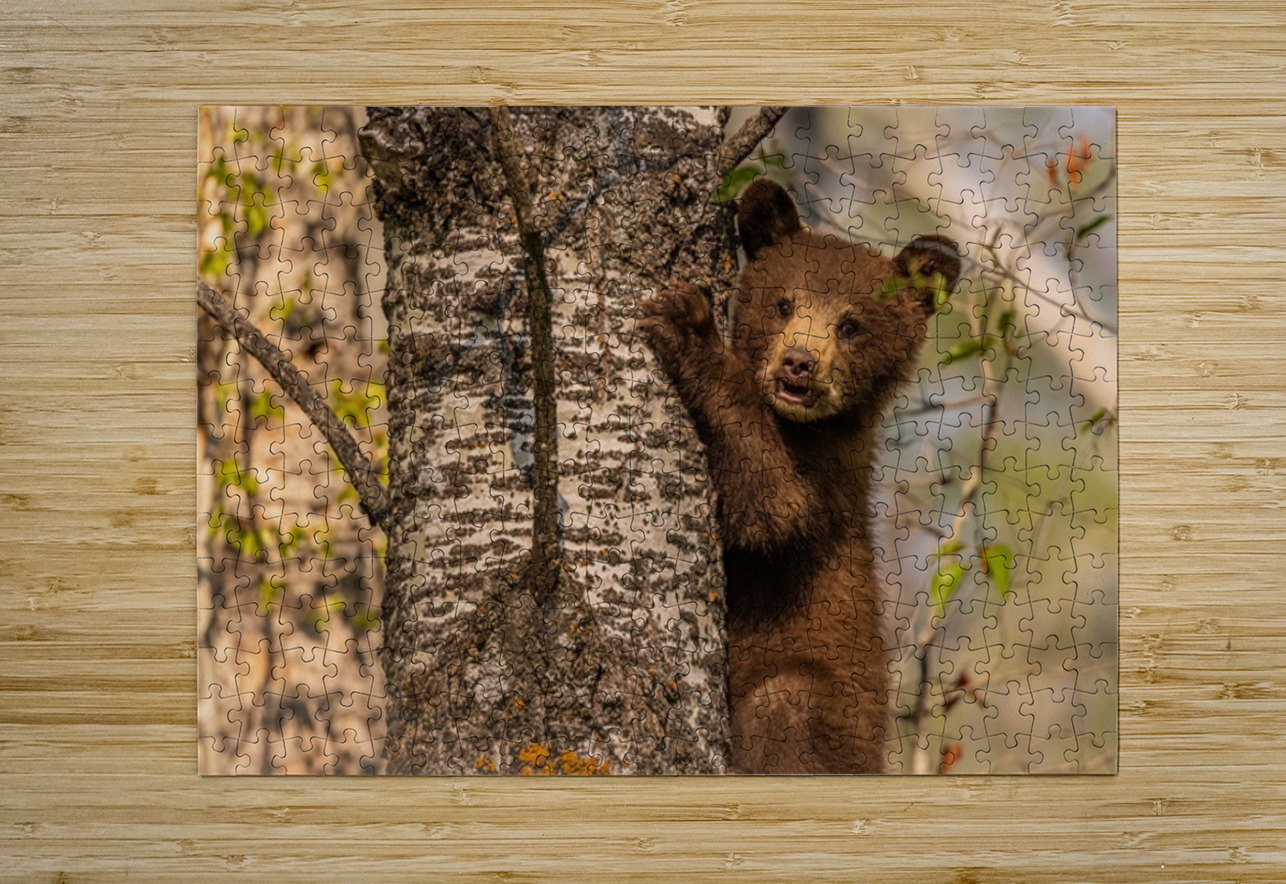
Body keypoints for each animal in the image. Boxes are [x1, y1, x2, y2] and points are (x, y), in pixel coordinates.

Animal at [641, 179, 962, 773]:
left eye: (851, 324)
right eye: (784, 302)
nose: (797, 363)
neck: (807, 427)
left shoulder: (826, 475)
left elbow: (772, 507)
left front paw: (689, 328)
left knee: (784, 703)